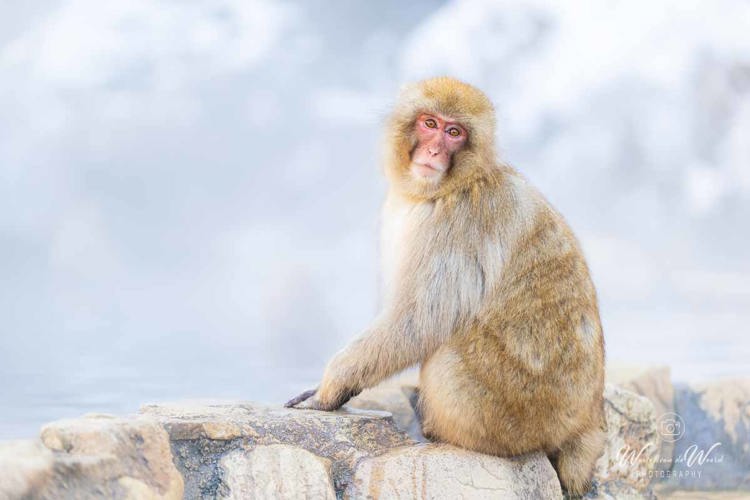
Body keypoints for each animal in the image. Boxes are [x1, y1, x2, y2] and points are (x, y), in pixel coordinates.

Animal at [286, 77, 606, 495]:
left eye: (455, 133)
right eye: (430, 123)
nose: (435, 149)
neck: (455, 183)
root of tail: (584, 424)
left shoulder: (458, 222)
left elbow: (415, 320)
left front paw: (330, 389)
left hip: (510, 415)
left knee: (446, 348)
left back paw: (436, 429)